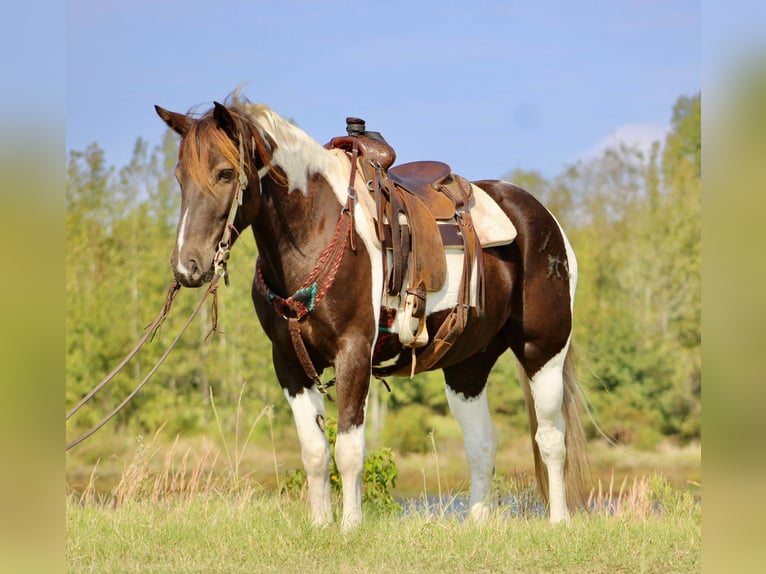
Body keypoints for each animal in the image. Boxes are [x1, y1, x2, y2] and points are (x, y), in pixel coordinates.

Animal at [155, 95, 589, 529]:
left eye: (225, 172)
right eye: (179, 177)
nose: (187, 265)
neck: (317, 229)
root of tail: (543, 218)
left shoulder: (353, 354)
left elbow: (348, 450)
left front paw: (350, 527)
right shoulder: (290, 365)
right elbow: (315, 453)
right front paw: (320, 525)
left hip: (543, 352)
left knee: (551, 439)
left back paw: (559, 521)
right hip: (467, 367)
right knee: (482, 444)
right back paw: (477, 525)